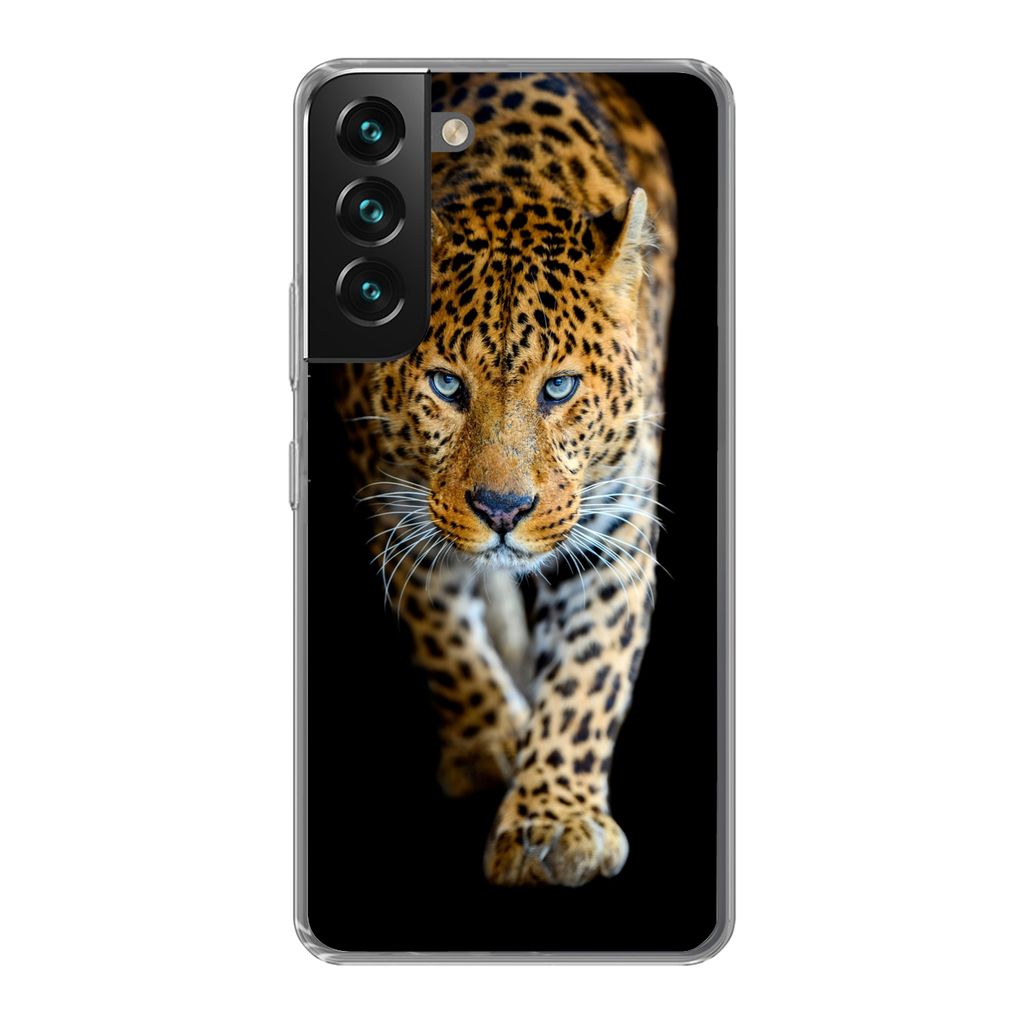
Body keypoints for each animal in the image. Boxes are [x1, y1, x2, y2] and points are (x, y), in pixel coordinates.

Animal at [336, 71, 677, 887]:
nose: (501, 509)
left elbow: (589, 677)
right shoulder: (395, 507)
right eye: (446, 385)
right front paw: (489, 740)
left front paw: (553, 821)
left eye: (559, 388)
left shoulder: (617, 532)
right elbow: (442, 636)